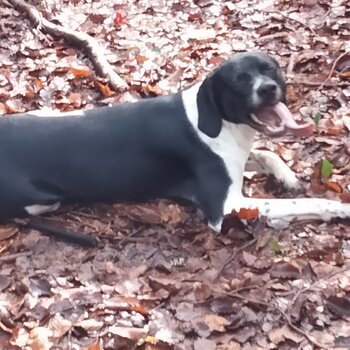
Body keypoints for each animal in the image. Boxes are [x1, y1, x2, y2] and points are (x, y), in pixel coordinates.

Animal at [0, 50, 350, 231]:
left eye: (271, 69)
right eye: (239, 80)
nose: (267, 89)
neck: (221, 123)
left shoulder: (237, 158)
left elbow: (265, 153)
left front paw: (286, 175)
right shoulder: (225, 206)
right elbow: (302, 203)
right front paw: (336, 208)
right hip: (41, 199)